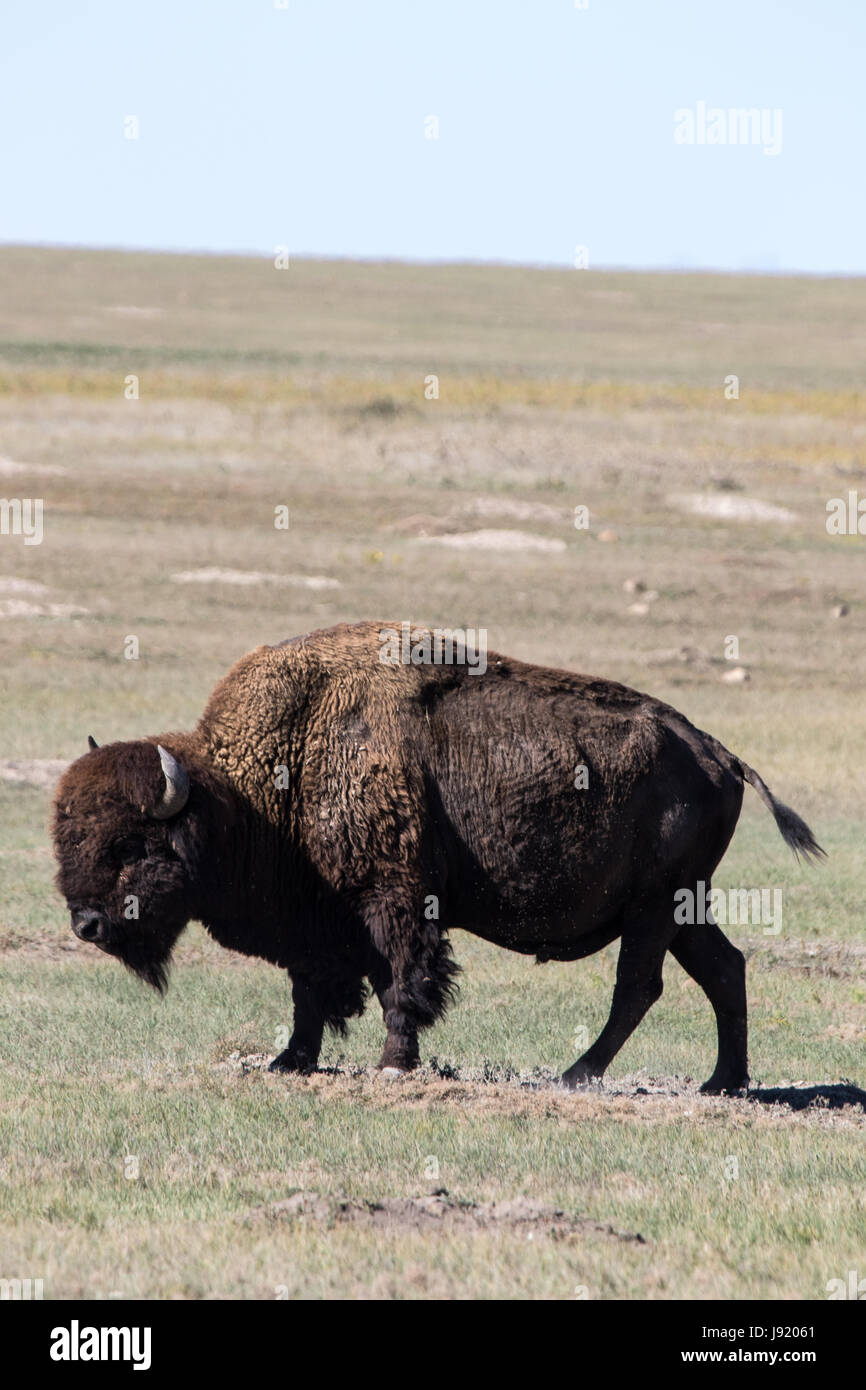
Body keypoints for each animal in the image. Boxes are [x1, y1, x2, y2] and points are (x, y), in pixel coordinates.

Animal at [52, 621, 823, 1092]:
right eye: (69, 838)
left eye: (131, 843)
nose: (87, 924)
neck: (260, 786)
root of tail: (719, 753)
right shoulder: (319, 923)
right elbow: (310, 993)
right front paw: (287, 1062)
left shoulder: (394, 899)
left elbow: (403, 982)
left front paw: (395, 1064)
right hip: (683, 906)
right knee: (723, 969)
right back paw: (723, 1082)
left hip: (656, 905)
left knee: (640, 985)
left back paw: (578, 1074)